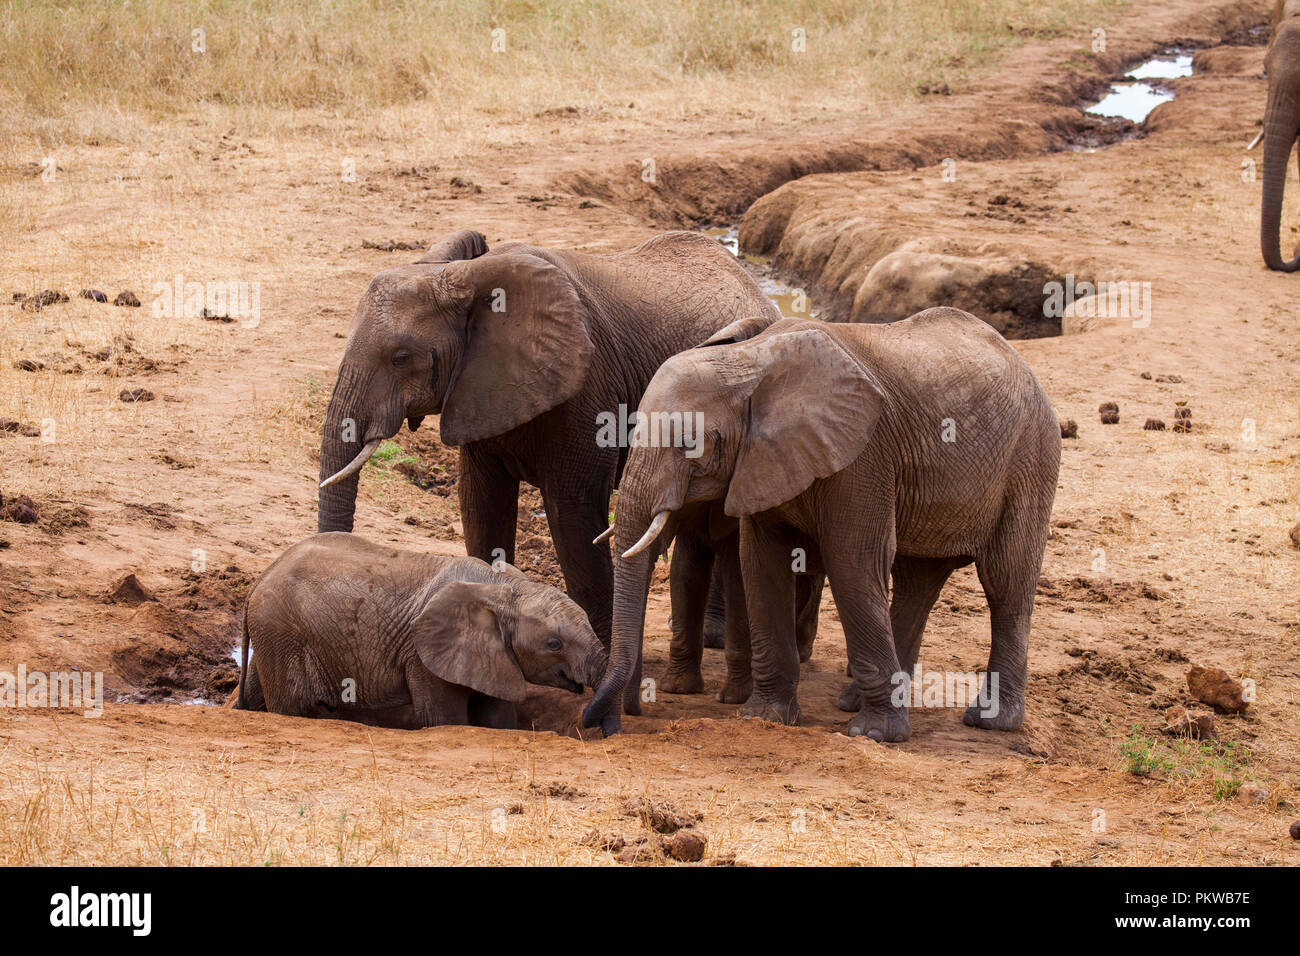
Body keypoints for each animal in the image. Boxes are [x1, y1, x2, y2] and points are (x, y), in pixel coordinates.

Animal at [235, 535, 608, 728]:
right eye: (554, 643)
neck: (506, 587)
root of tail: (260, 578)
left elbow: (497, 716)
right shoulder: (423, 654)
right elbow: (446, 718)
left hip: (272, 634)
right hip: (281, 633)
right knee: (292, 706)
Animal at [314, 226, 780, 717]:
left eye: (401, 357)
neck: (465, 278)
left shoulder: (587, 389)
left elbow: (573, 517)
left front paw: (607, 682)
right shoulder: (478, 389)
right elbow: (482, 505)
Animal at [585, 310, 1060, 743]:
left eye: (690, 443)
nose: (609, 723)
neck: (749, 362)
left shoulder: (863, 456)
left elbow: (852, 562)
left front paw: (874, 735)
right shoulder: (762, 460)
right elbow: (762, 564)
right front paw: (765, 717)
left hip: (1031, 457)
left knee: (1005, 582)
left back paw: (991, 721)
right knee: (917, 581)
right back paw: (854, 700)